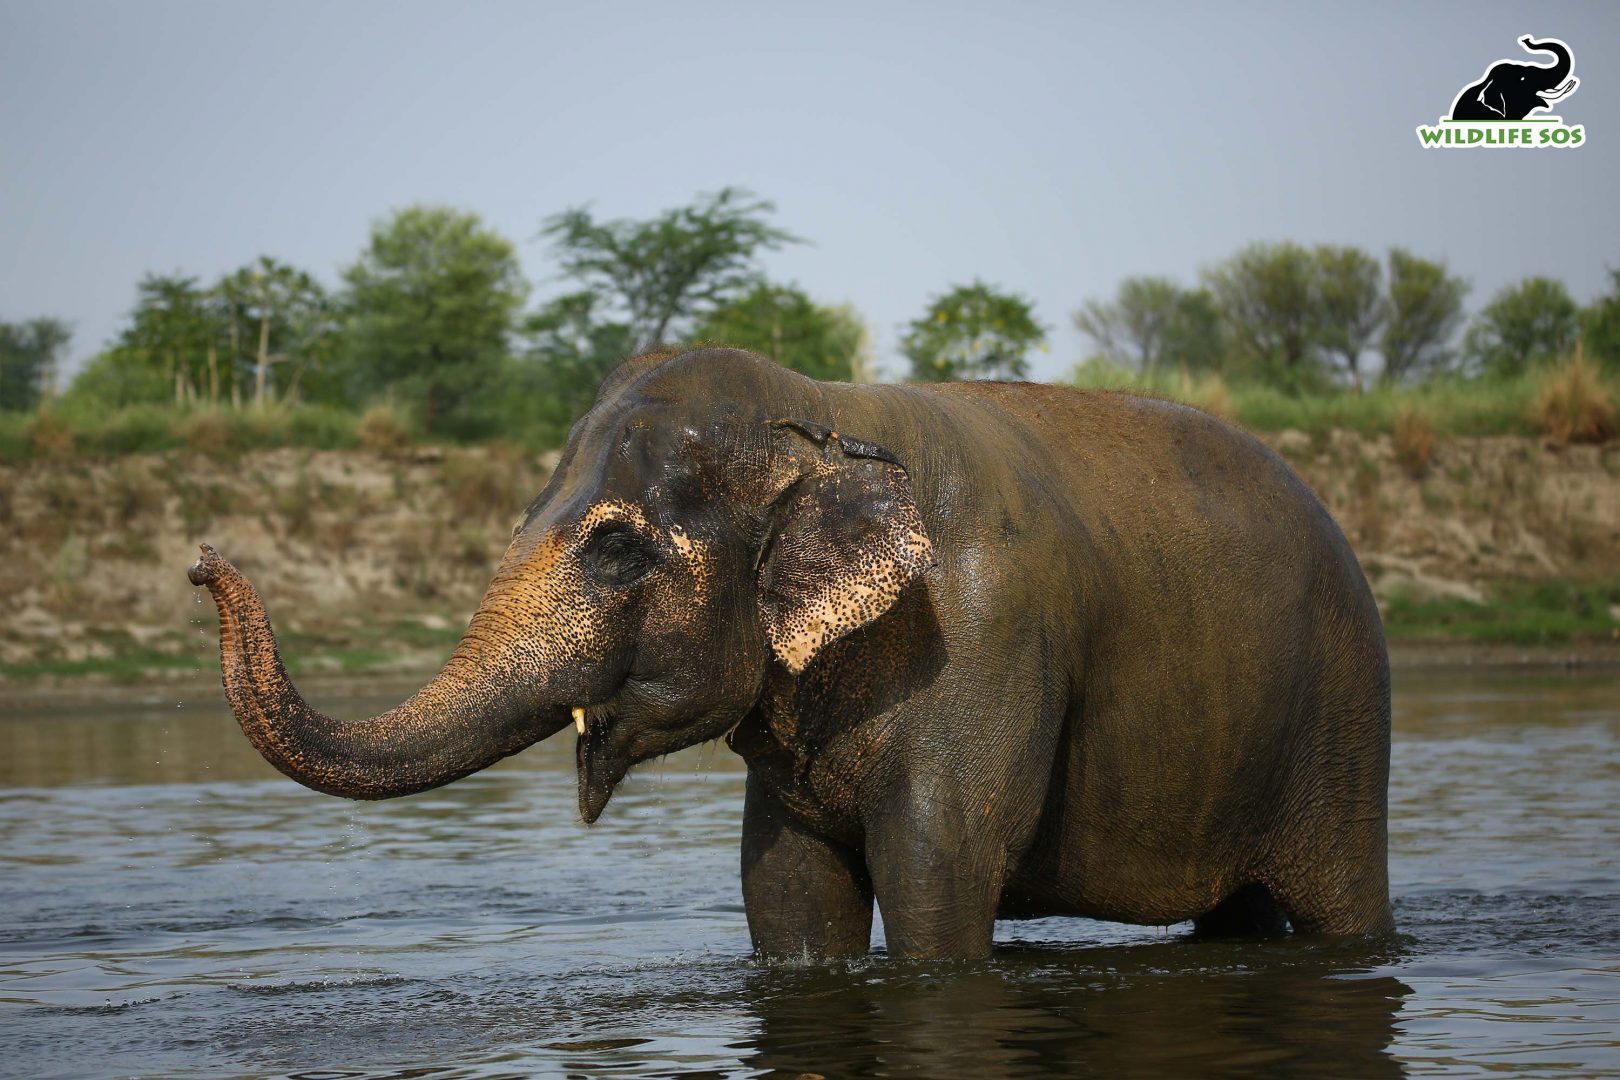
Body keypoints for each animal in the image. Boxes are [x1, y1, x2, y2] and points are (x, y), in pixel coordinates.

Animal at [192, 348, 1393, 965]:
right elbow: (786, 889)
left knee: (1341, 903)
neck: (824, 411)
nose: (204, 560)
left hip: (1340, 726)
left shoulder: (987, 646)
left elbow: (938, 876)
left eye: (618, 551)